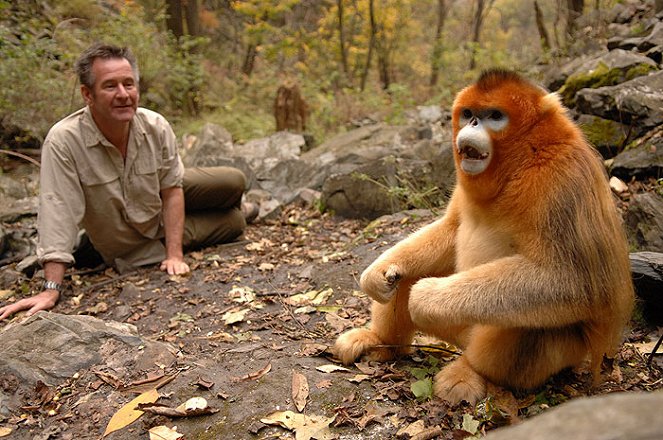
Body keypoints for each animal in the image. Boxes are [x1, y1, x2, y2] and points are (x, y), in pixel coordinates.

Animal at [334, 69, 636, 406]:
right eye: (468, 114)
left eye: (494, 116)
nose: (473, 124)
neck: (521, 162)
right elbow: (451, 228)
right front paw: (376, 273)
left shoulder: (564, 180)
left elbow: (576, 282)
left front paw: (428, 296)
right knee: (405, 277)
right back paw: (380, 340)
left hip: (542, 347)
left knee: (537, 318)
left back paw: (472, 371)